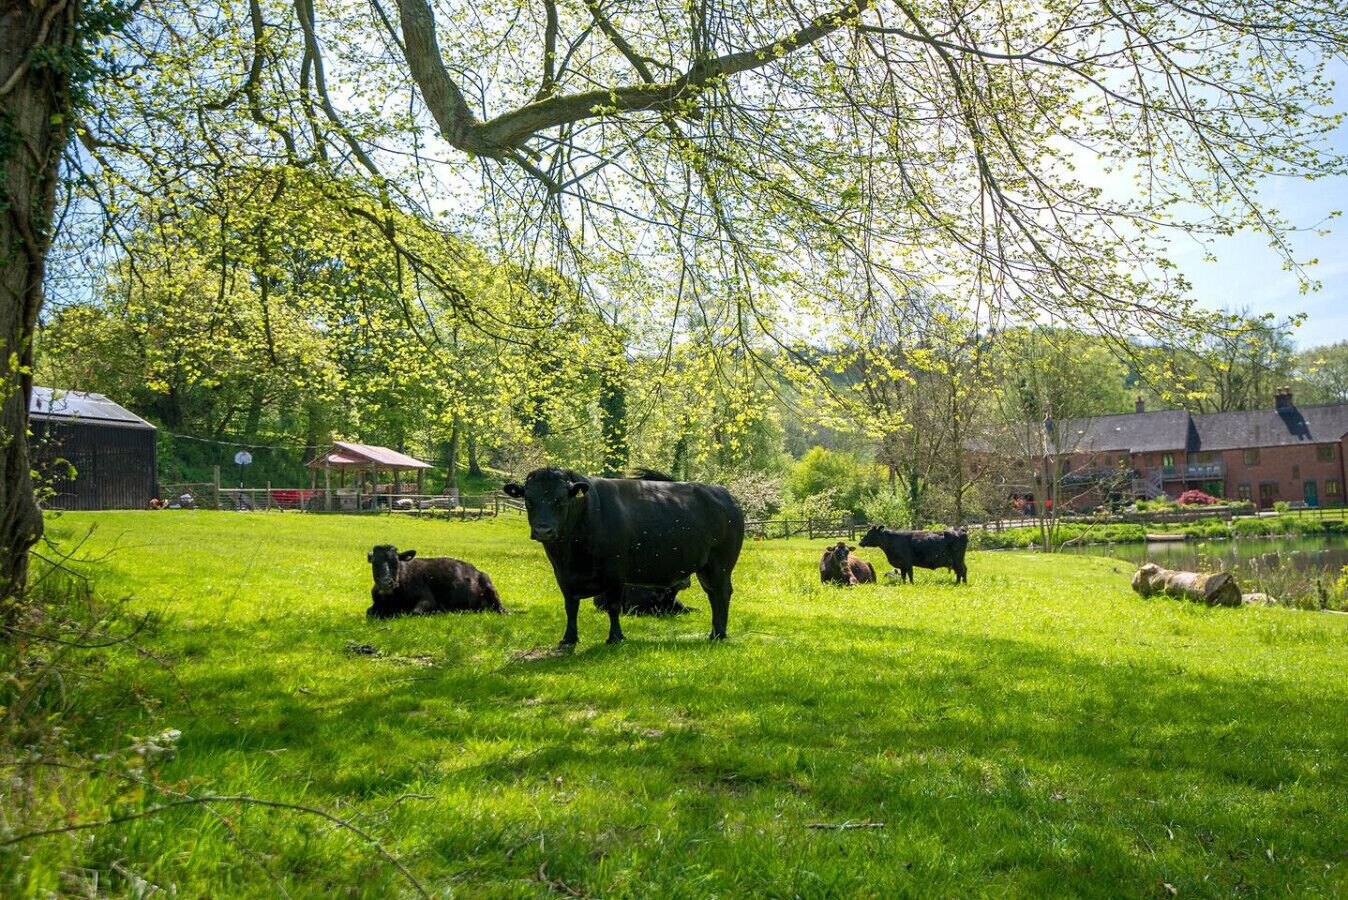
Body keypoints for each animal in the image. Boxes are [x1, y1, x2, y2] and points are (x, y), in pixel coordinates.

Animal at [366, 545, 506, 618]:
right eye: (374, 562)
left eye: (396, 562)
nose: (385, 583)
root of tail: (476, 570)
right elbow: (368, 612)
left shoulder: (427, 598)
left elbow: (415, 612)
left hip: (490, 586)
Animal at [504, 467, 744, 646]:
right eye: (529, 500)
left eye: (560, 500)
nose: (543, 530)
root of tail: (725, 495)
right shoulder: (563, 575)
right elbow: (570, 606)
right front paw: (569, 639)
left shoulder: (615, 572)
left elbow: (613, 606)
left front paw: (615, 637)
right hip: (706, 569)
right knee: (713, 595)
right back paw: (714, 632)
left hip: (721, 565)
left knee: (721, 594)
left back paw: (719, 634)